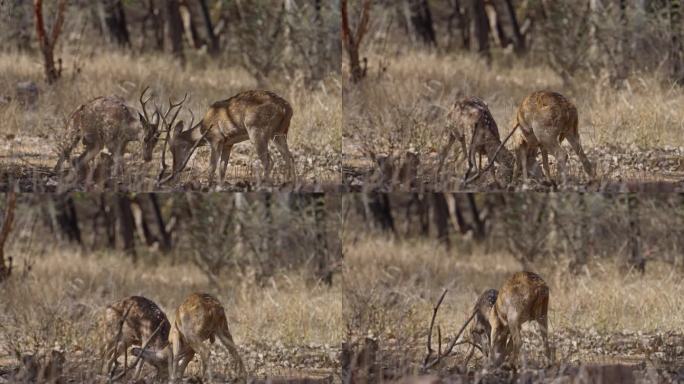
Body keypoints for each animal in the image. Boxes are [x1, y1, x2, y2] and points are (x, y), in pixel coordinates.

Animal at [164, 90, 296, 186]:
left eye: (174, 147)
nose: (174, 172)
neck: (204, 129)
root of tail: (286, 108)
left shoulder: (216, 139)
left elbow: (212, 167)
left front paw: (208, 186)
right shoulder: (228, 143)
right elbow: (222, 169)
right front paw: (220, 186)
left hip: (257, 130)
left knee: (269, 161)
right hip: (280, 132)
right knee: (289, 157)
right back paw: (290, 184)